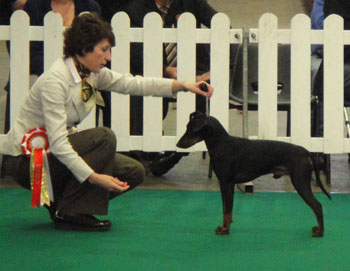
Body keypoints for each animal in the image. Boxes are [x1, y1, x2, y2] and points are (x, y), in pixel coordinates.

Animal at [176, 111, 332, 237]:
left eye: (191, 129)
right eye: (187, 127)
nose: (177, 144)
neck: (222, 145)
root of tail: (307, 153)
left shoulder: (228, 184)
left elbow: (228, 210)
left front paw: (225, 230)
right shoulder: (222, 184)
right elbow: (225, 209)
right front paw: (223, 227)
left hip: (300, 182)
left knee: (317, 206)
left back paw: (320, 232)